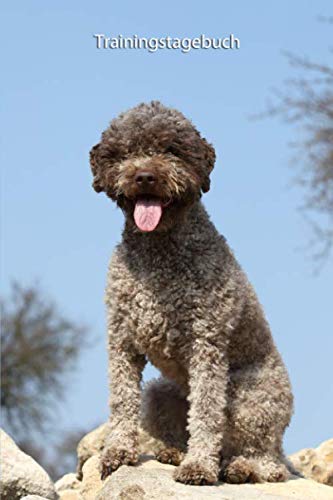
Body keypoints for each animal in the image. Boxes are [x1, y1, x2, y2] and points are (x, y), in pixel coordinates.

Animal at [89, 100, 292, 484]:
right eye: (127, 151)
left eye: (172, 150)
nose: (145, 177)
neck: (158, 252)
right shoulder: (122, 340)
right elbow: (122, 400)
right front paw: (117, 453)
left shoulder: (206, 345)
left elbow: (207, 412)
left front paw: (199, 466)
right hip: (160, 392)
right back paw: (175, 452)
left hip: (250, 394)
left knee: (267, 462)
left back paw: (240, 467)